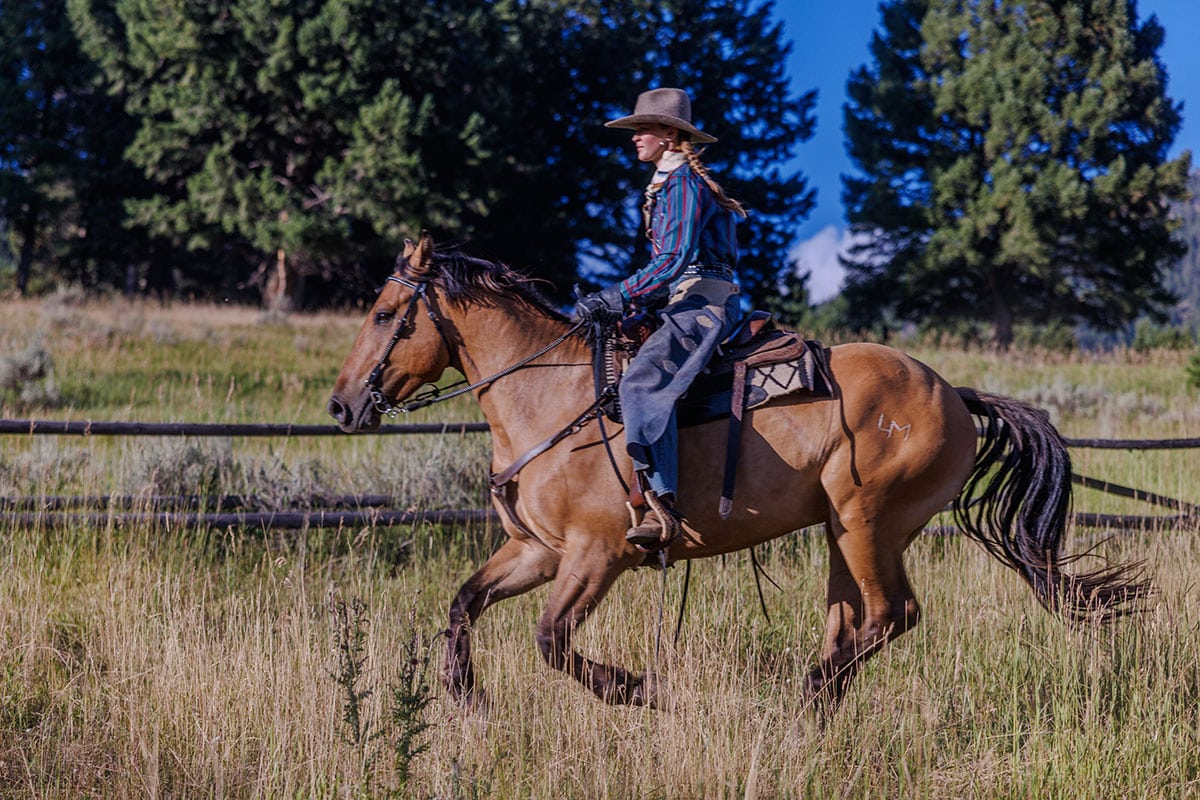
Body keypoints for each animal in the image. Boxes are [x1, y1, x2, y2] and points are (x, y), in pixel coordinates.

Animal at [328, 232, 1150, 710]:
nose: (341, 405)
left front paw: (641, 688)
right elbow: (465, 602)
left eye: (383, 314)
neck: (549, 397)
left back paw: (803, 701)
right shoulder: (537, 551)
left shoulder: (597, 555)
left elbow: (551, 639)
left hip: (868, 524)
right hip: (843, 534)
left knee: (891, 616)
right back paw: (812, 708)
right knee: (851, 623)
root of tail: (952, 394)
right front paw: (465, 696)